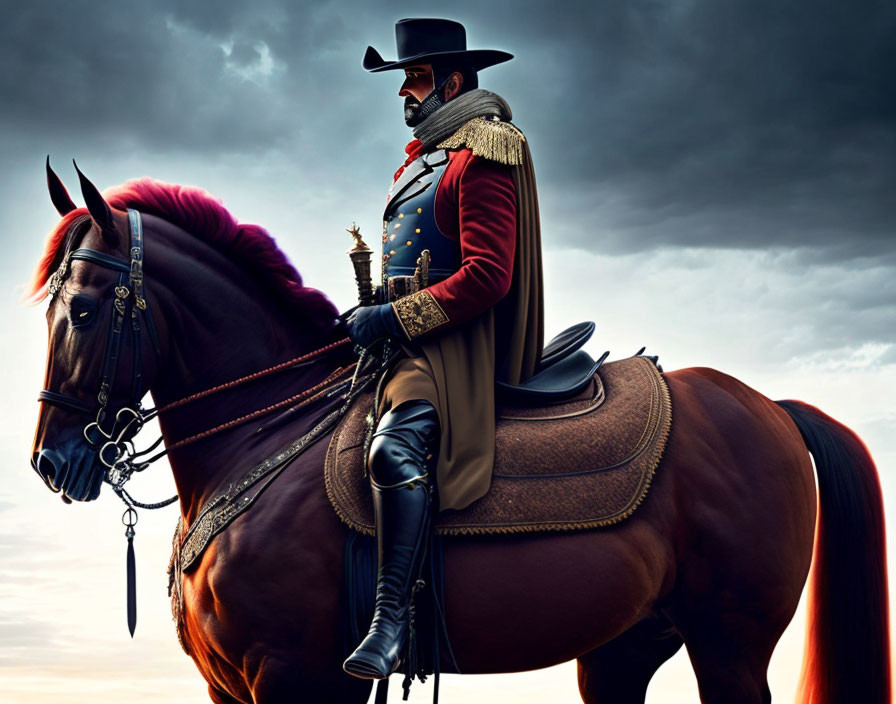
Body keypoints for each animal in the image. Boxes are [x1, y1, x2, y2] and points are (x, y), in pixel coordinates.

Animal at [28, 162, 888, 700]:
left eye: (82, 311)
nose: (51, 463)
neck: (264, 434)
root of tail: (772, 407)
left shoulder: (298, 677)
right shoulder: (230, 688)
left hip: (728, 643)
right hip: (625, 647)